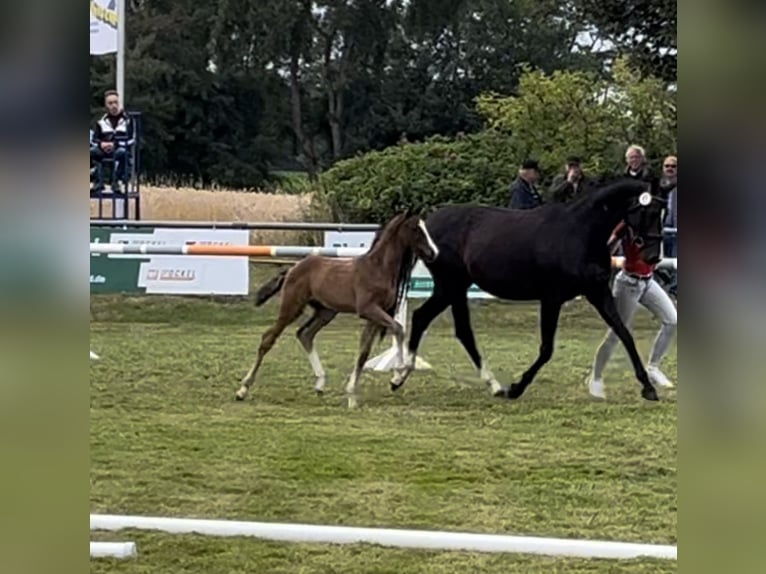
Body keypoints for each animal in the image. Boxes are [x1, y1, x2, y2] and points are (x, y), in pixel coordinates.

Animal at [236, 213, 438, 410]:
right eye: (415, 228)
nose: (433, 253)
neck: (378, 268)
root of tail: (293, 268)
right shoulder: (368, 309)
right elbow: (398, 329)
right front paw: (397, 377)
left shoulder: (374, 316)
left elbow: (364, 352)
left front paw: (352, 396)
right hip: (292, 307)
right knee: (268, 339)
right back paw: (242, 390)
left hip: (326, 312)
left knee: (305, 334)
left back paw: (320, 384)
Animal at [392, 178, 668, 402]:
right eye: (647, 211)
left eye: (662, 212)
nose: (653, 257)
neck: (580, 232)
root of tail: (427, 225)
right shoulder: (552, 298)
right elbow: (546, 349)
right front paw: (517, 388)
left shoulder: (597, 292)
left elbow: (624, 334)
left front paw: (648, 388)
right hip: (450, 285)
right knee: (428, 319)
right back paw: (401, 376)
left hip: (454, 288)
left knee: (448, 326)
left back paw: (488, 384)